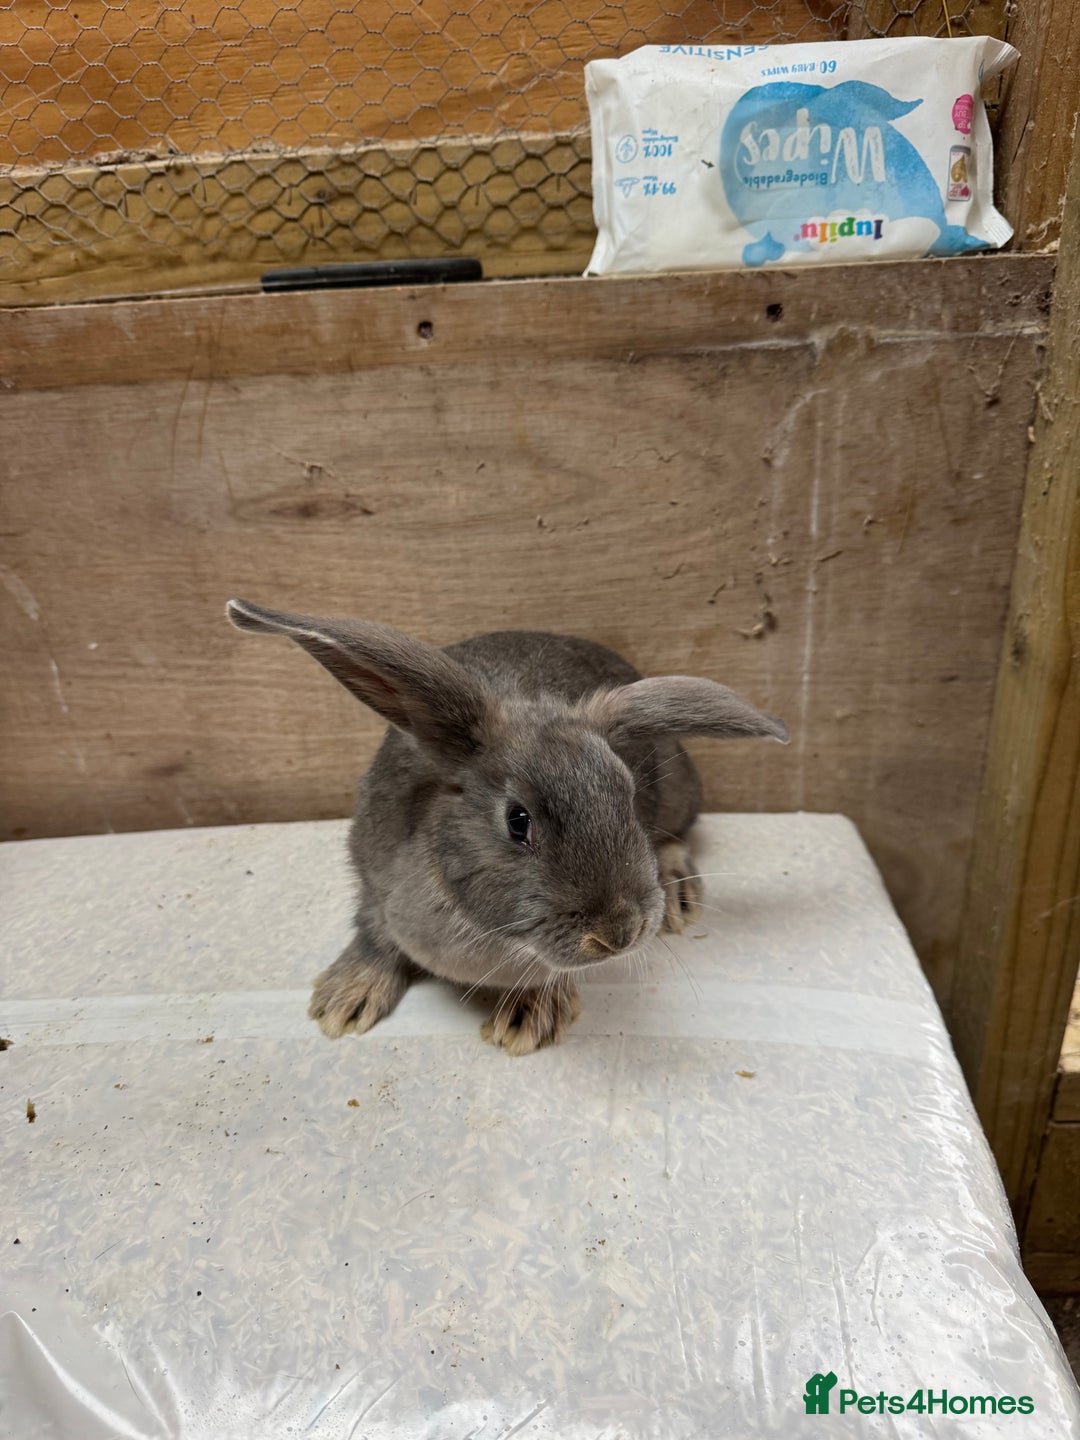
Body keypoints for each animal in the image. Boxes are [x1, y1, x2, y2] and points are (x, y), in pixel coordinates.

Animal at [226, 599, 788, 1055]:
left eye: (627, 797)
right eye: (518, 822)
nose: (619, 934)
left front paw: (528, 1017)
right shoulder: (372, 881)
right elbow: (374, 933)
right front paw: (344, 1000)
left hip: (679, 792)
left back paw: (678, 894)